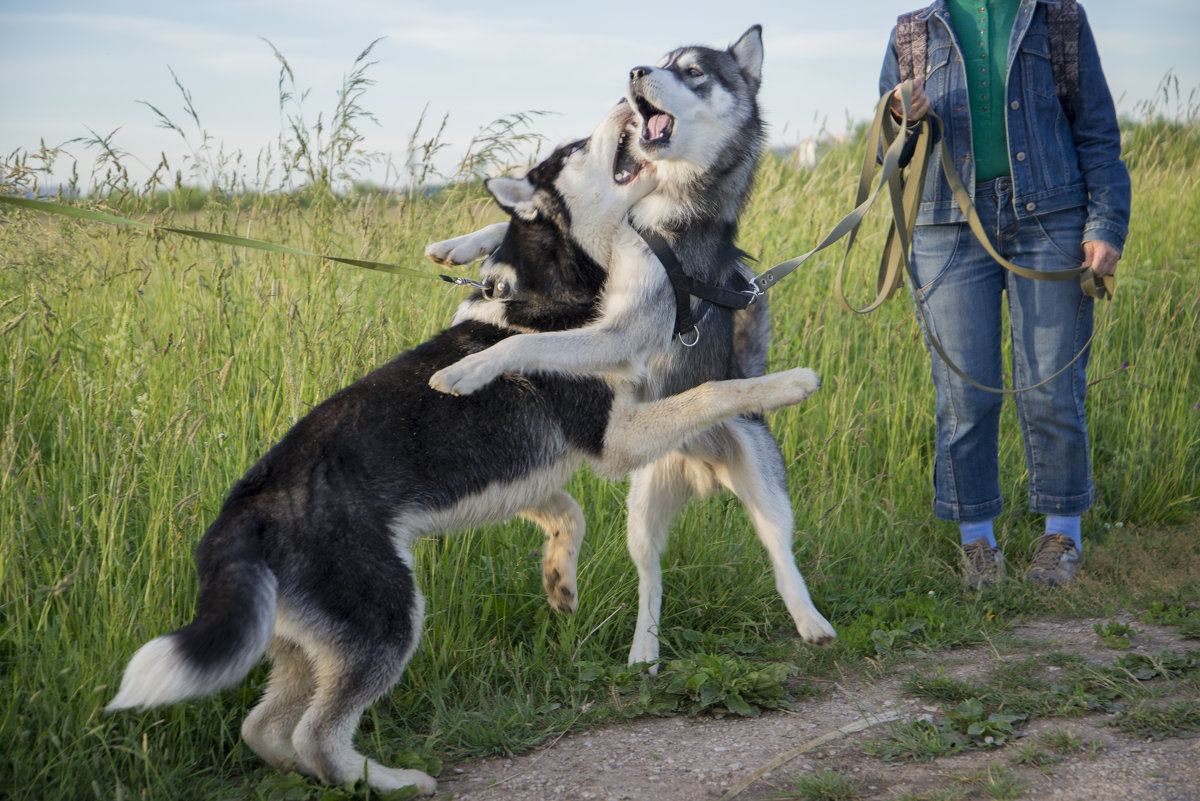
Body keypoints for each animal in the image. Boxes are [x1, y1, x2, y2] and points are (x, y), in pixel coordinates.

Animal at [105, 101, 825, 796]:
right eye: (572, 150)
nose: (627, 98)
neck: (552, 293)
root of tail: (245, 511)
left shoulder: (526, 475)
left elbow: (568, 512)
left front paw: (559, 578)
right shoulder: (614, 439)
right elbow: (712, 393)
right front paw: (789, 383)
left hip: (304, 644)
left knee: (264, 726)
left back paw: (305, 772)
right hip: (386, 618)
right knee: (317, 733)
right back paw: (391, 781)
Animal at [429, 25, 835, 666]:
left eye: (692, 71)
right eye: (663, 60)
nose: (637, 71)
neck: (649, 216)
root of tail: (702, 466)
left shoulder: (620, 334)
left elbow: (523, 347)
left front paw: (471, 368)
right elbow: (520, 227)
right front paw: (459, 244)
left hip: (765, 488)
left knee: (780, 553)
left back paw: (809, 619)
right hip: (642, 508)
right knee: (651, 576)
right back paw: (644, 647)